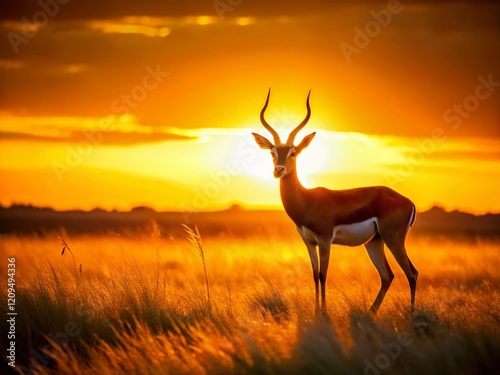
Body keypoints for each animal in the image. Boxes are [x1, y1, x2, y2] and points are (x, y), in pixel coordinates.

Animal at [250, 89, 418, 316]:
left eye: (293, 152)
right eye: (272, 152)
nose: (279, 170)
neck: (307, 201)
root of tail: (408, 201)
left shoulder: (324, 239)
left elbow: (323, 275)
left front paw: (323, 312)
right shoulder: (309, 242)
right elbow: (314, 275)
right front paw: (316, 310)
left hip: (394, 239)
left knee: (412, 273)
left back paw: (411, 315)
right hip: (374, 242)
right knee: (387, 275)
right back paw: (370, 313)